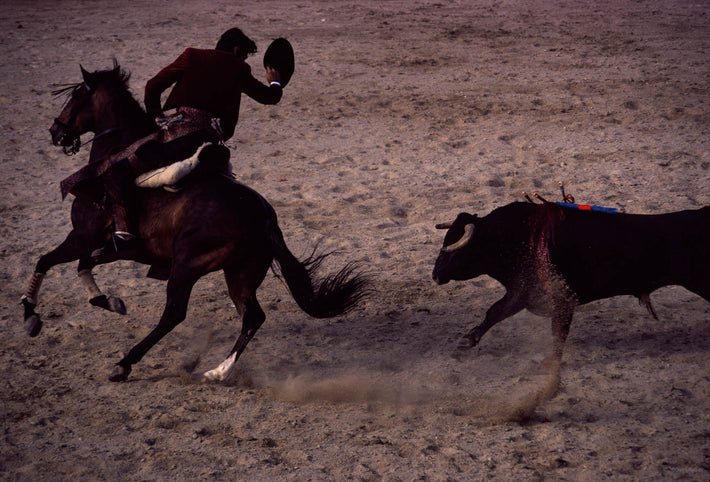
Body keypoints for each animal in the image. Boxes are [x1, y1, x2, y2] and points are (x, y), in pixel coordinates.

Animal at [23, 63, 368, 380]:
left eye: (76, 96)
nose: (55, 132)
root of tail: (265, 217)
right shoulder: (98, 246)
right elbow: (84, 266)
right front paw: (108, 300)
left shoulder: (82, 235)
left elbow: (46, 260)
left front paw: (30, 315)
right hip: (239, 273)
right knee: (252, 317)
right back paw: (218, 372)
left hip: (187, 266)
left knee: (174, 314)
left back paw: (125, 364)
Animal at [434, 201, 710, 364]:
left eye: (455, 251)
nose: (435, 275)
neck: (518, 238)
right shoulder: (523, 291)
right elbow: (495, 312)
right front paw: (467, 340)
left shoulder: (559, 299)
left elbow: (556, 332)